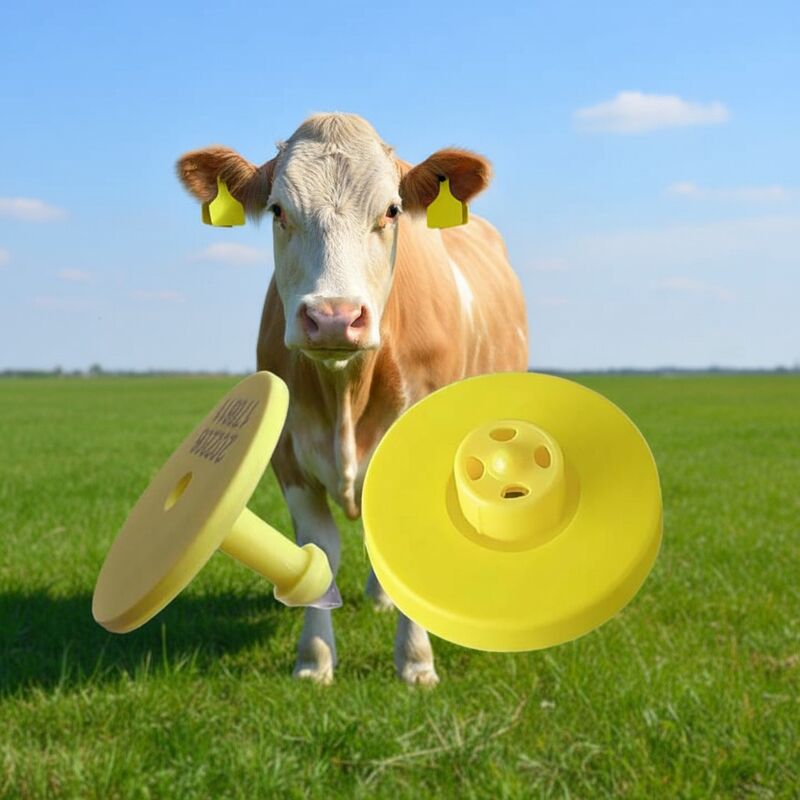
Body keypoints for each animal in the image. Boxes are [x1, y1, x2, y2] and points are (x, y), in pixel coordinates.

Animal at [177, 113, 527, 685]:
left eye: (391, 210)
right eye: (278, 210)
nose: (334, 317)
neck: (345, 393)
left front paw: (415, 662)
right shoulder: (289, 455)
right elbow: (320, 550)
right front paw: (314, 660)